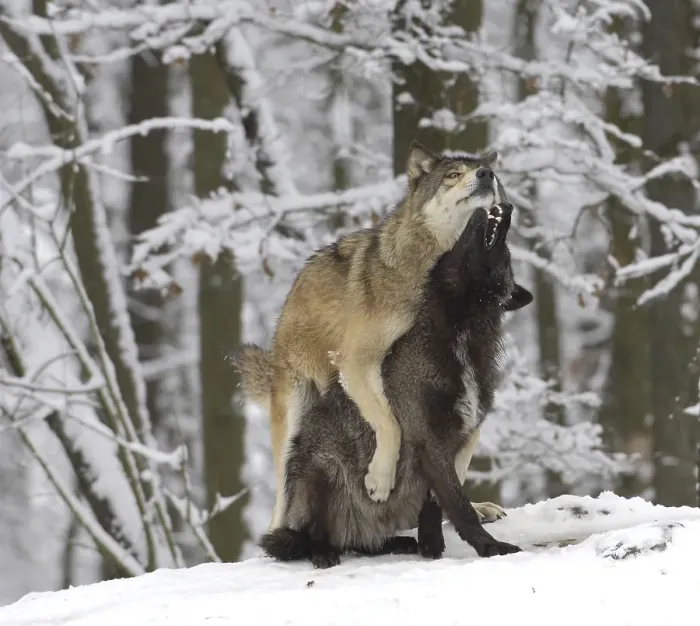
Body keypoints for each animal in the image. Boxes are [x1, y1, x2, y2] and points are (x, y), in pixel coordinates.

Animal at [242, 141, 511, 528]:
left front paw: (466, 509)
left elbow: (460, 453)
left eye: (493, 176)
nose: (486, 174)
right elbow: (391, 423)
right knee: (279, 505)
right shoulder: (356, 363)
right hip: (294, 413)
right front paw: (380, 481)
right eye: (452, 175)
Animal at [251, 203, 533, 568]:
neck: (462, 332)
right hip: (321, 469)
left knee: (364, 544)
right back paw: (323, 551)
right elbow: (459, 505)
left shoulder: (455, 439)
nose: (506, 207)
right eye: (507, 251)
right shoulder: (429, 440)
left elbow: (436, 504)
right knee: (308, 536)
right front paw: (490, 548)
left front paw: (430, 544)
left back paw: (398, 542)